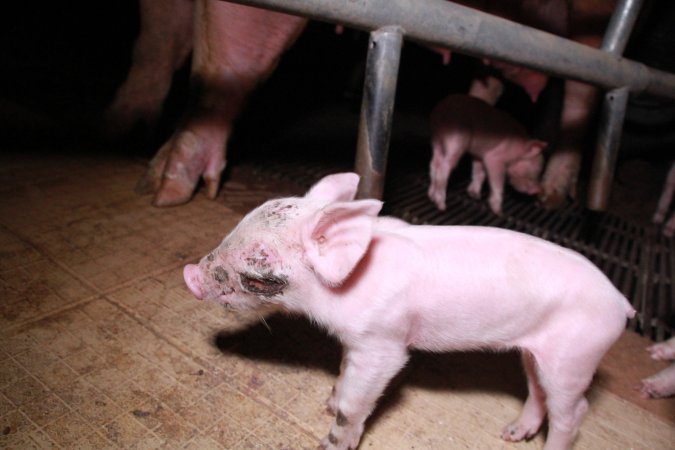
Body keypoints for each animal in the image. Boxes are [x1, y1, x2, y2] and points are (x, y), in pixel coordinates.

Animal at [184, 172, 635, 450]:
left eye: (259, 264)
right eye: (237, 226)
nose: (190, 275)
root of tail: (621, 302)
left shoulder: (383, 344)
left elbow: (355, 403)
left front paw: (327, 439)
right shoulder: (356, 342)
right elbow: (342, 373)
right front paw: (328, 401)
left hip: (575, 356)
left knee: (574, 410)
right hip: (535, 351)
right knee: (537, 389)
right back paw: (511, 434)